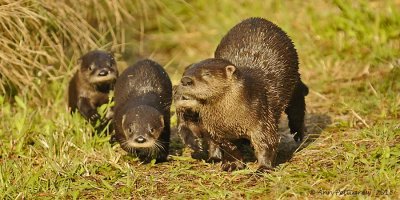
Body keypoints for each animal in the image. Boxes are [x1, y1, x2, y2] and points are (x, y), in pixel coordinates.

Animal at [175, 17, 310, 172]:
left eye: (206, 74)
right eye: (184, 73)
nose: (185, 80)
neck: (230, 119)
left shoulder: (262, 119)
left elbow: (266, 143)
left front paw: (264, 167)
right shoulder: (216, 130)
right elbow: (228, 147)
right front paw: (232, 164)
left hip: (293, 84)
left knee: (297, 106)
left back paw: (298, 133)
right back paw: (214, 157)